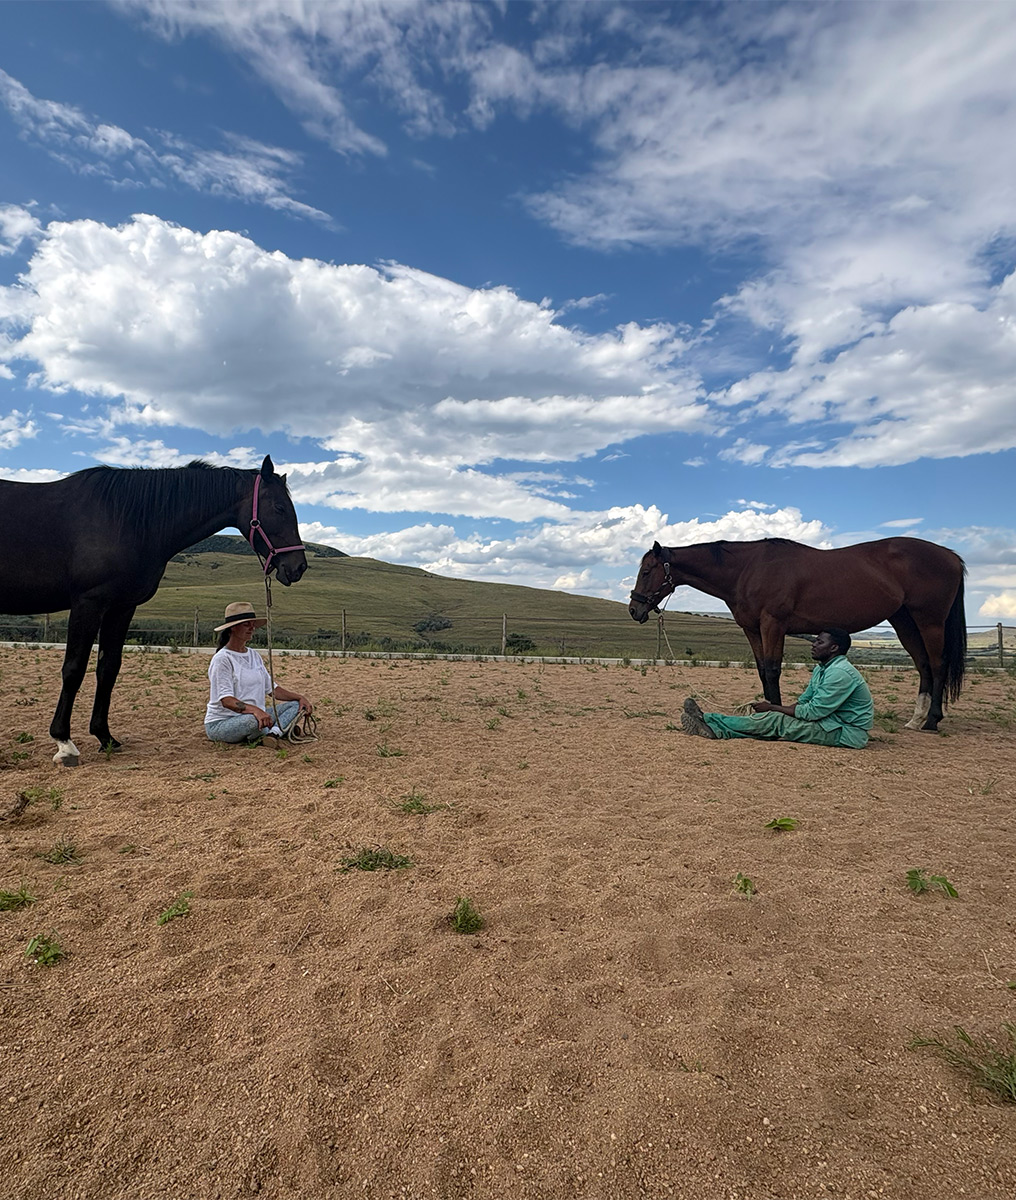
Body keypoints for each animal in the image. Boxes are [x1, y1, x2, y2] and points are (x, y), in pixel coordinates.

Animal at [0, 455, 307, 766]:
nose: (298, 567)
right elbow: (73, 669)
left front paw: (104, 736)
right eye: (279, 508)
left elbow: (108, 669)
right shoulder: (88, 603)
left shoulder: (121, 607)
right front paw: (64, 742)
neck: (122, 518)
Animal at [629, 536, 966, 732]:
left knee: (937, 664)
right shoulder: (753, 629)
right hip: (904, 622)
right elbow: (762, 669)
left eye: (646, 571)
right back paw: (916, 719)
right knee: (923, 665)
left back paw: (932, 721)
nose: (634, 609)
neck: (748, 568)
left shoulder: (773, 625)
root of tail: (951, 556)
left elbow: (773, 669)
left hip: (929, 621)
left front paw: (773, 714)